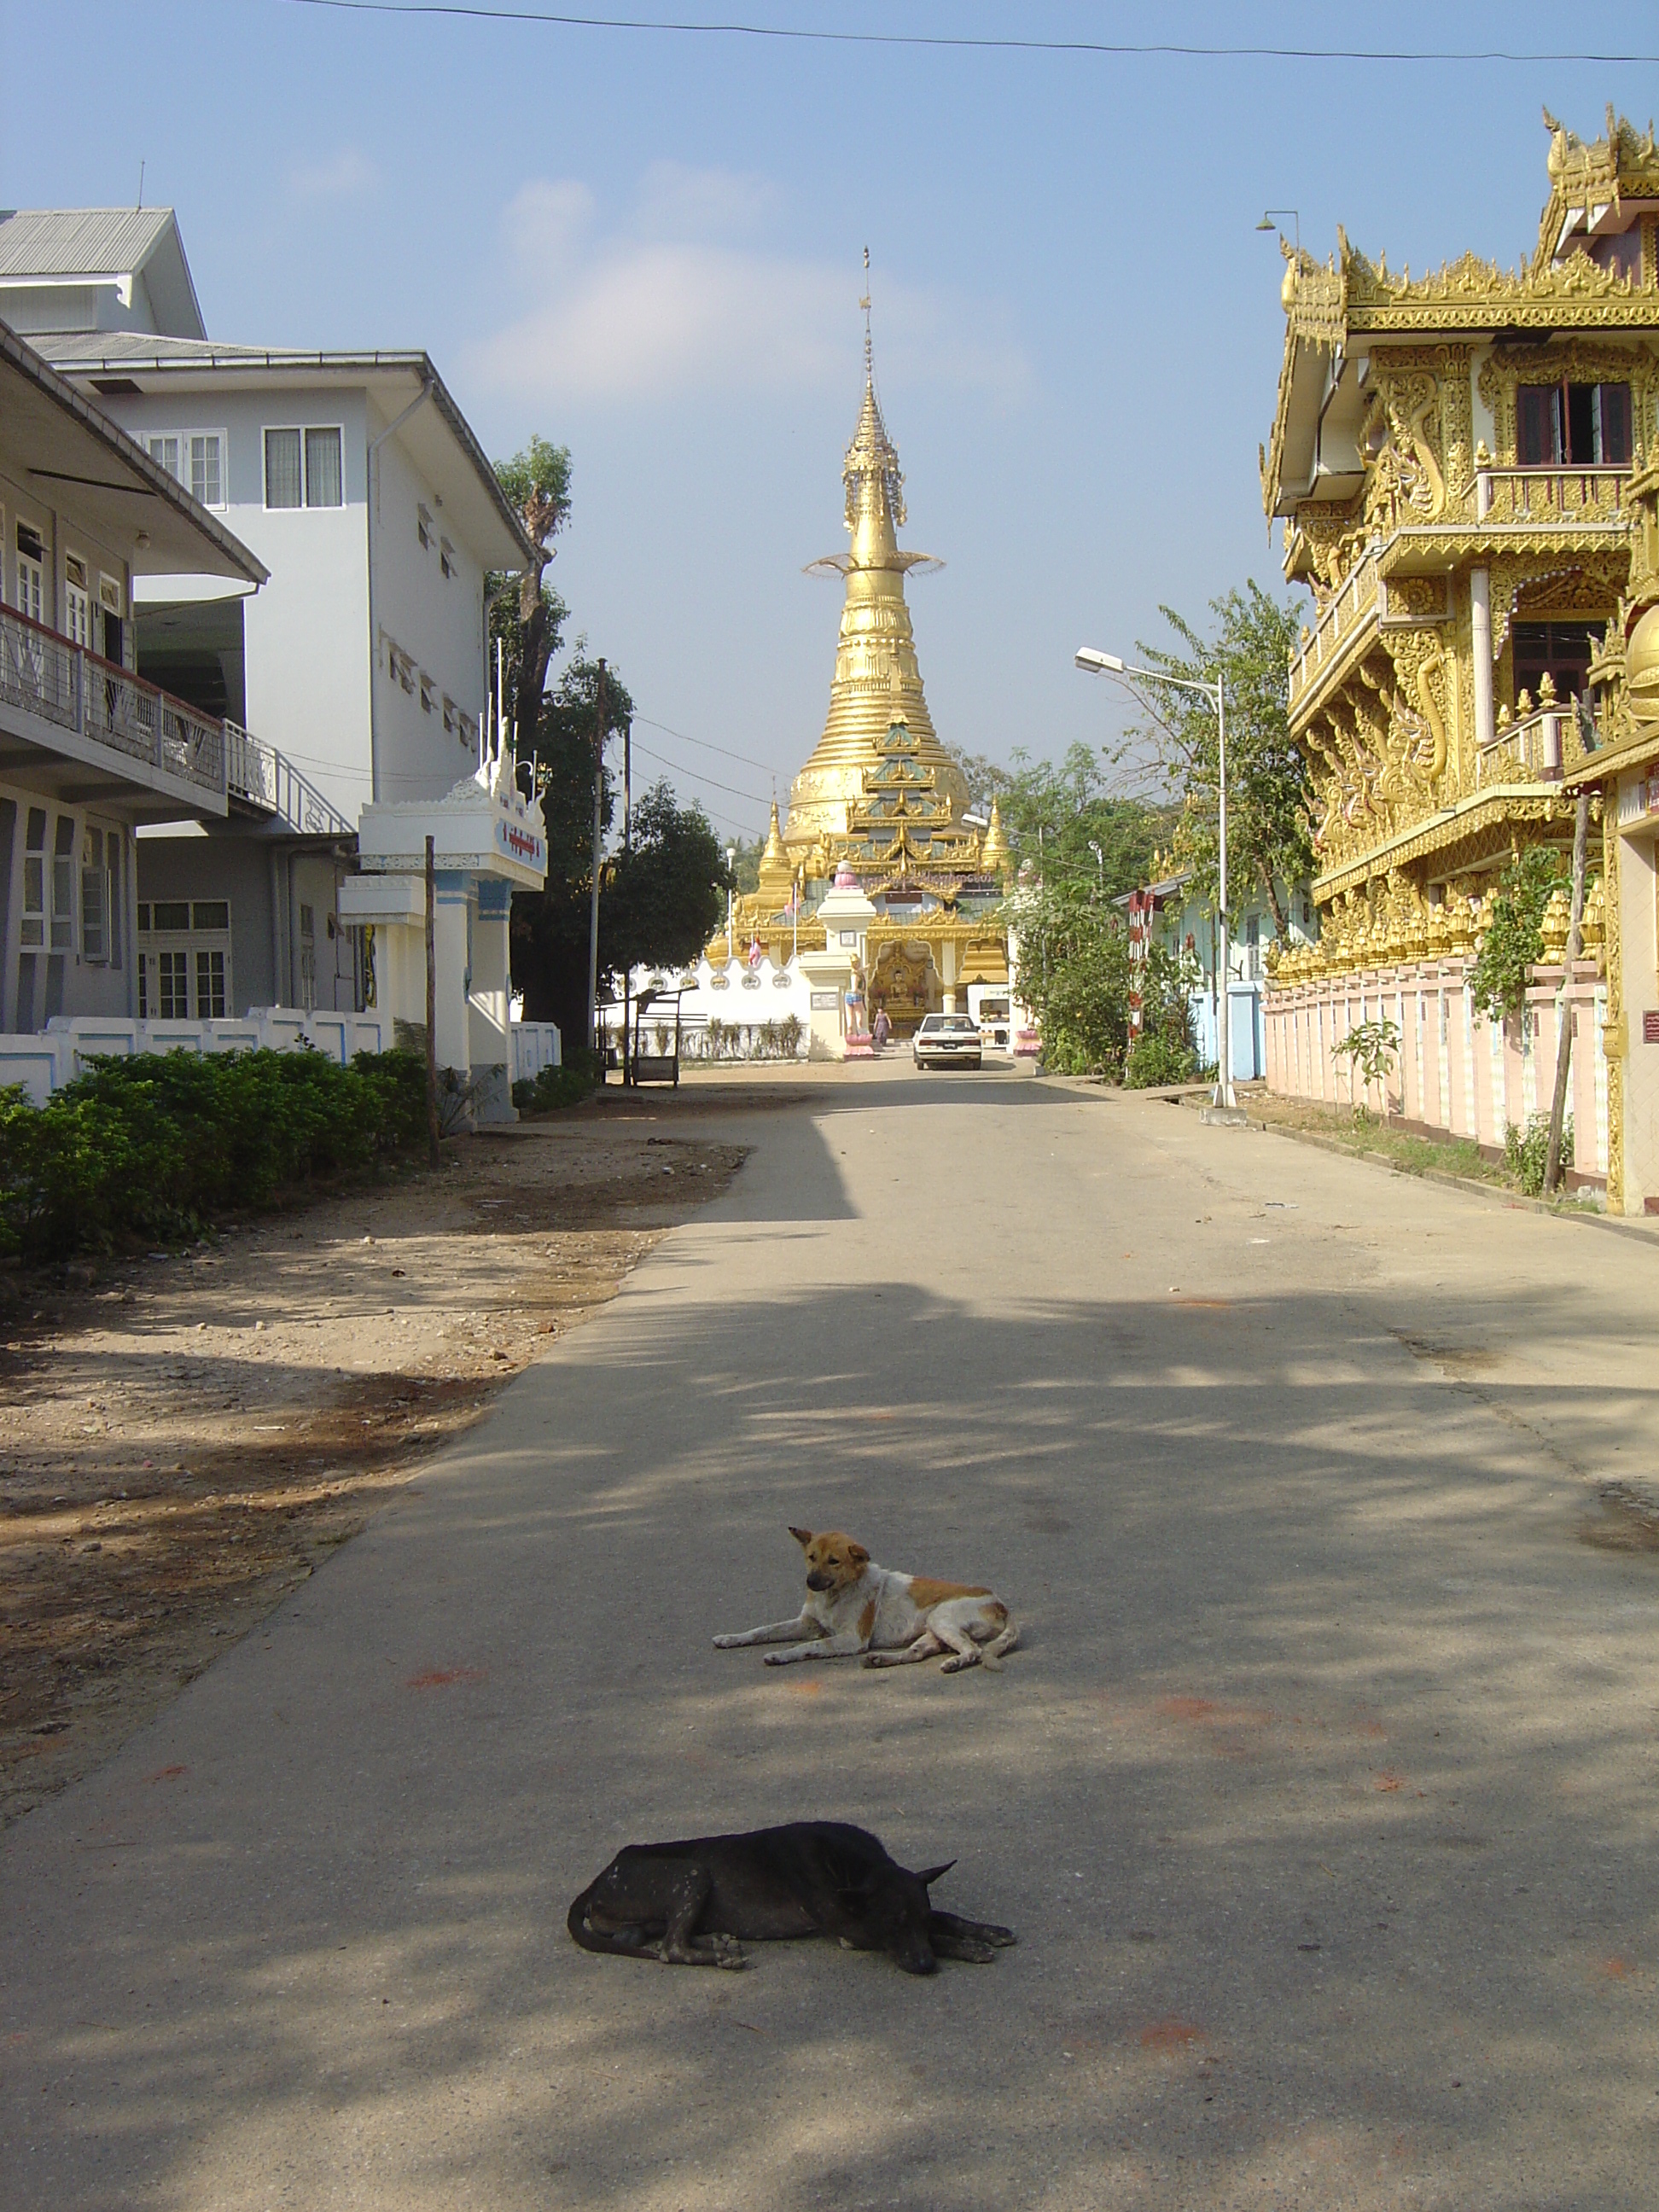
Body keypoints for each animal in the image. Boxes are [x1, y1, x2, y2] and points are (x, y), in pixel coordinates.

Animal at [566, 1822, 1022, 1982]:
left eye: (919, 1920)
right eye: (892, 1925)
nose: (926, 1967)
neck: (855, 1865)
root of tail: (600, 1877)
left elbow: (945, 1916)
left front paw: (985, 1930)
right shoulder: (853, 1929)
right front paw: (969, 1947)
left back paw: (719, 1942)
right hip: (692, 1874)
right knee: (670, 1949)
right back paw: (720, 1956)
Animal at [712, 1530, 1022, 1663]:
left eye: (834, 1561)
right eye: (811, 1557)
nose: (810, 1582)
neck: (833, 1596)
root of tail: (1001, 1604)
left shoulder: (851, 1639)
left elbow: (807, 1647)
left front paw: (781, 1655)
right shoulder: (807, 1623)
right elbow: (760, 1631)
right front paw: (729, 1638)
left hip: (941, 1619)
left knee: (973, 1651)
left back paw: (956, 1662)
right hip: (933, 1630)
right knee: (917, 1653)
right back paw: (882, 1659)